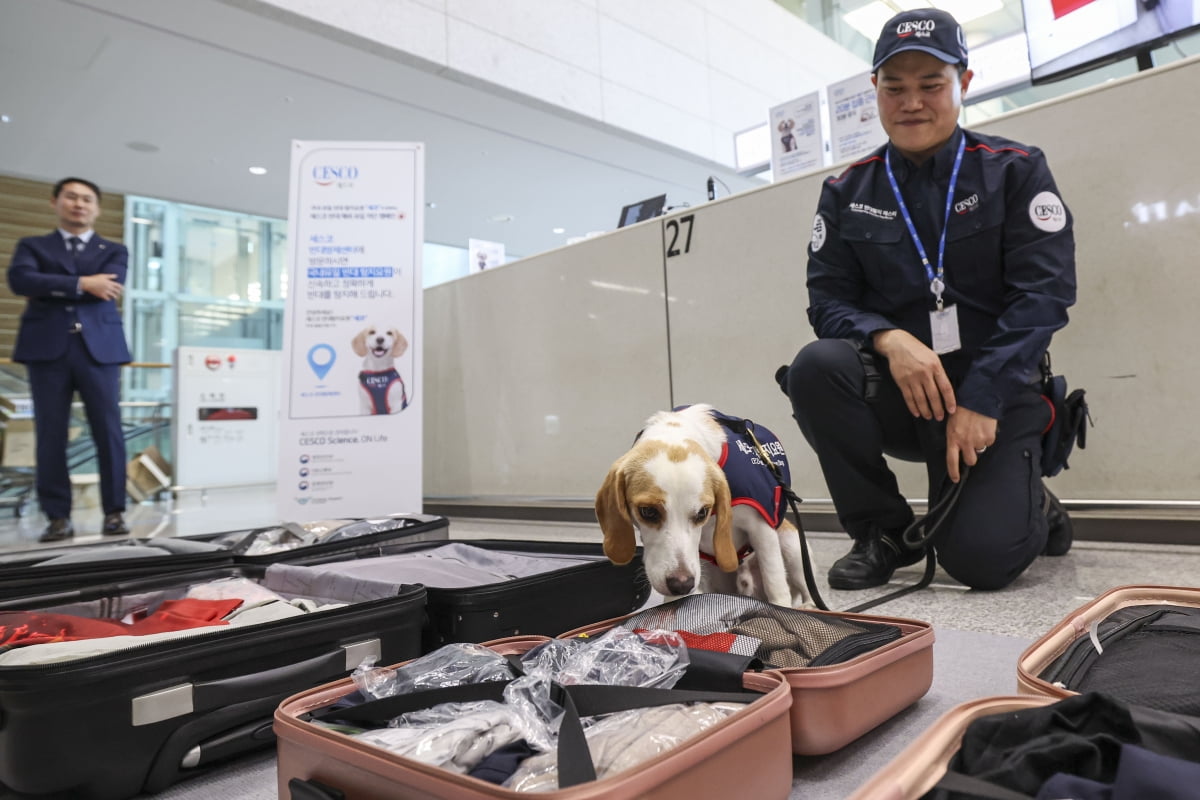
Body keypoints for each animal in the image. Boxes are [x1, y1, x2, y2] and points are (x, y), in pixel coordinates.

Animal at [597, 407, 816, 606]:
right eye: (648, 512)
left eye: (702, 512)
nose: (682, 585)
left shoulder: (761, 529)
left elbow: (775, 584)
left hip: (793, 547)